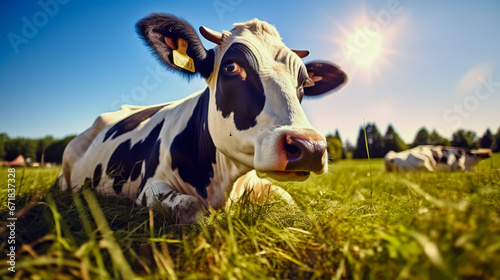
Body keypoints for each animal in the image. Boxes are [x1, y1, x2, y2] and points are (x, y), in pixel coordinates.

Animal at [61, 13, 348, 223]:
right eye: (231, 67)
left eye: (305, 82)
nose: (309, 147)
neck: (223, 184)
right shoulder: (149, 187)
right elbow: (192, 208)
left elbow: (292, 205)